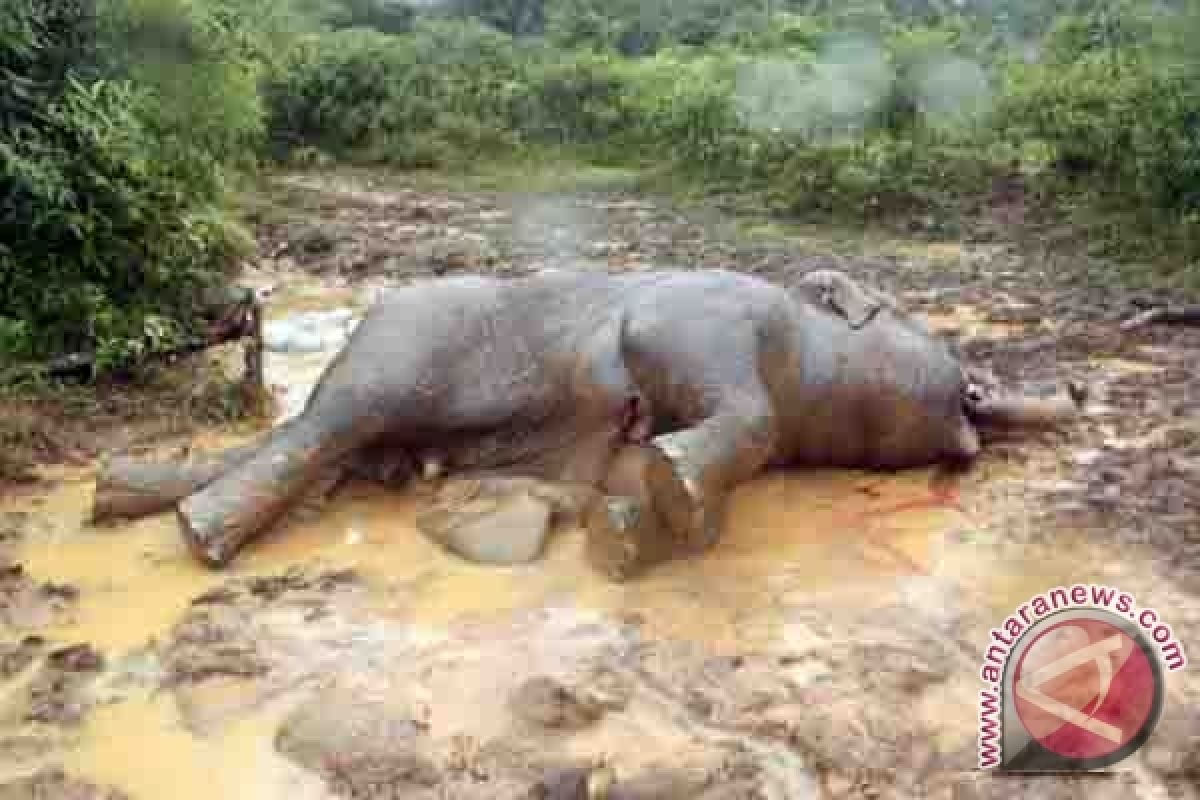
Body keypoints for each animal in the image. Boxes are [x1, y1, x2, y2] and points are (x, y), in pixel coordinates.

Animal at [87, 268, 1080, 582]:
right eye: (929, 334)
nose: (981, 397)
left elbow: (618, 476)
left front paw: (625, 535)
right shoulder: (709, 315)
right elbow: (732, 405)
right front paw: (674, 490)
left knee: (343, 455)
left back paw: (117, 494)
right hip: (398, 350)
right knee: (324, 426)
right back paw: (199, 534)